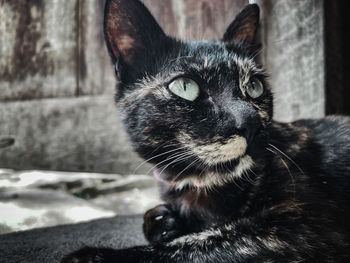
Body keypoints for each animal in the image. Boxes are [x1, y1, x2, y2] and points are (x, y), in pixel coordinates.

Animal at [62, 0, 350, 262]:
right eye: (185, 86)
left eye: (254, 86)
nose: (251, 122)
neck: (198, 185)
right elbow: (154, 218)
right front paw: (165, 221)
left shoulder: (302, 225)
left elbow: (198, 244)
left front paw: (95, 256)